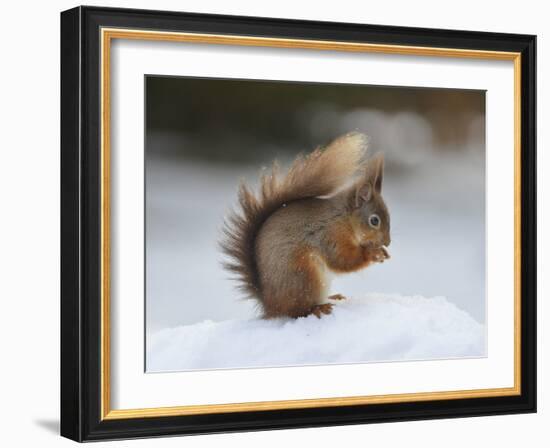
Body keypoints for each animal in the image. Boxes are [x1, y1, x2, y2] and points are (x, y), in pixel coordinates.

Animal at [221, 131, 392, 320]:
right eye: (374, 220)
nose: (388, 242)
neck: (343, 218)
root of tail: (269, 305)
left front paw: (383, 252)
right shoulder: (329, 235)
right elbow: (342, 260)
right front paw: (373, 253)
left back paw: (333, 297)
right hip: (304, 275)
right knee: (298, 311)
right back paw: (318, 308)